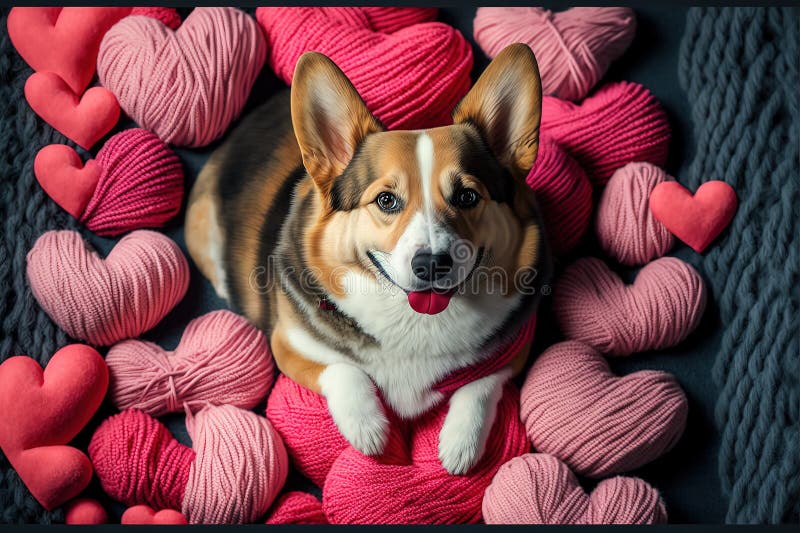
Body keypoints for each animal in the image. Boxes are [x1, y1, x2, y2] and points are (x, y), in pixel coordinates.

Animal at [185, 42, 552, 474]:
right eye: (386, 201)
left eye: (467, 196)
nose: (431, 264)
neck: (414, 319)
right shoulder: (288, 345)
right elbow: (343, 370)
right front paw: (371, 431)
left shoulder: (514, 351)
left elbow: (481, 383)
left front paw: (460, 445)